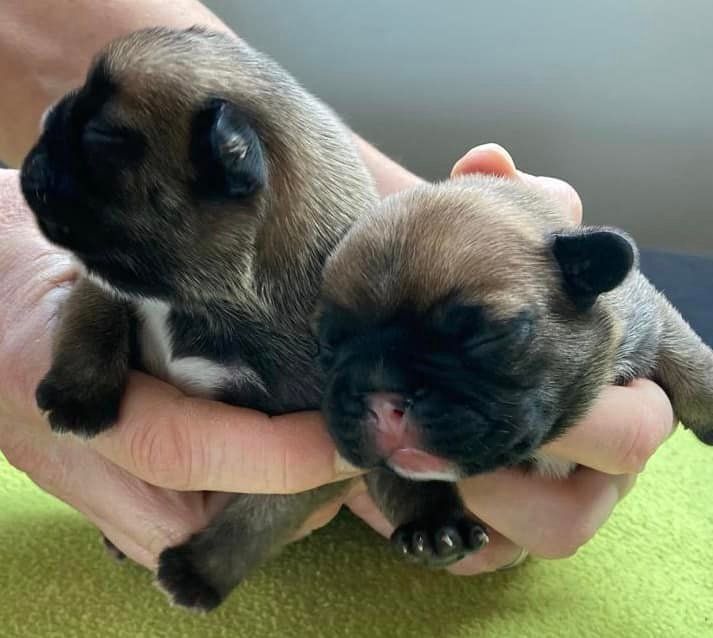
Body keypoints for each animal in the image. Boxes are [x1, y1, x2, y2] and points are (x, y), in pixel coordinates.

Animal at [18, 26, 378, 616]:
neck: (198, 299)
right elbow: (93, 316)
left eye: (99, 134)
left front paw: (201, 571)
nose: (47, 117)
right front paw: (78, 396)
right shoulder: (107, 275)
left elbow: (258, 517)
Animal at [318, 175, 712, 564]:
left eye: (487, 336)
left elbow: (683, 347)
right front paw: (430, 523)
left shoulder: (643, 312)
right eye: (327, 346)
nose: (381, 398)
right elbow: (394, 477)